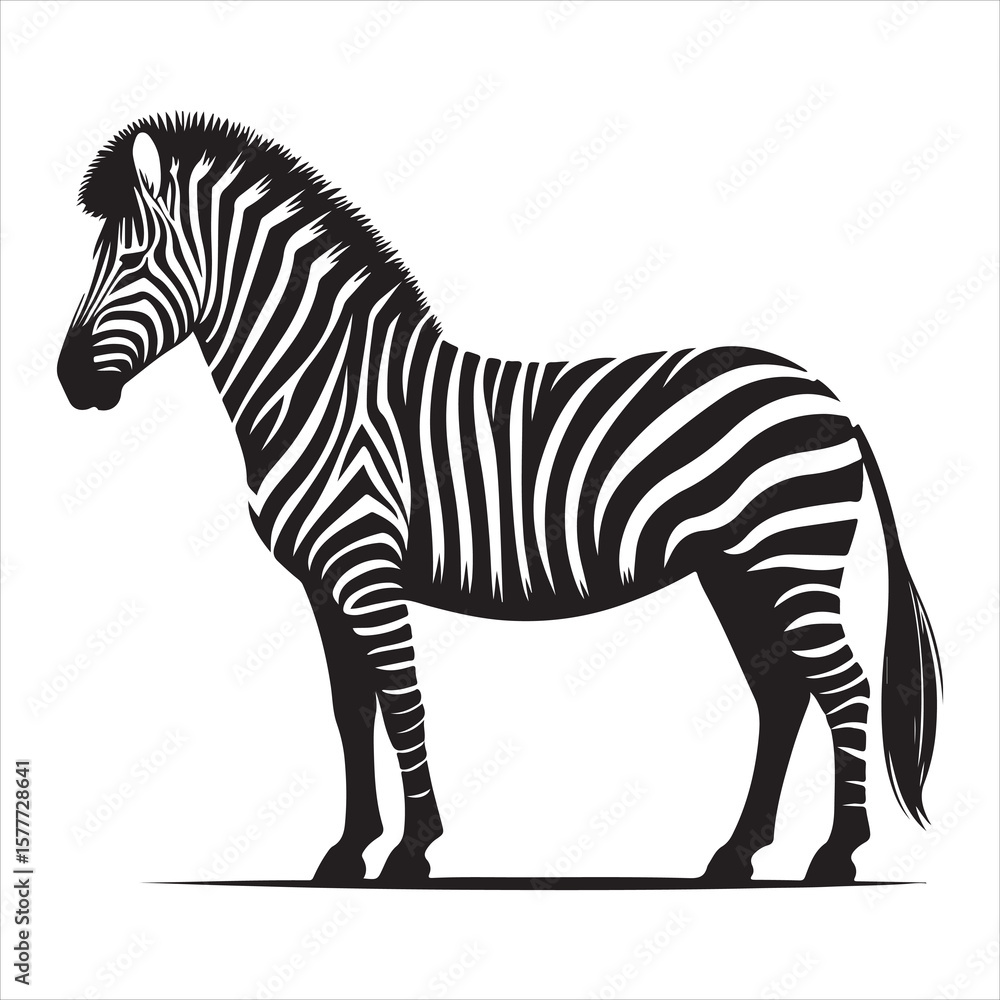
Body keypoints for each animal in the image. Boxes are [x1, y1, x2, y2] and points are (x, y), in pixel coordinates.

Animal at [58, 114, 940, 886]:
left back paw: (837, 855)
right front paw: (348, 851)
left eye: (133, 259)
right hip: (736, 570)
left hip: (791, 558)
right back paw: (736, 855)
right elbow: (351, 713)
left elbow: (403, 705)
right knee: (783, 694)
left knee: (846, 689)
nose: (68, 381)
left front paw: (411, 850)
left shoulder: (366, 569)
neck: (326, 391)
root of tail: (829, 397)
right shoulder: (323, 582)